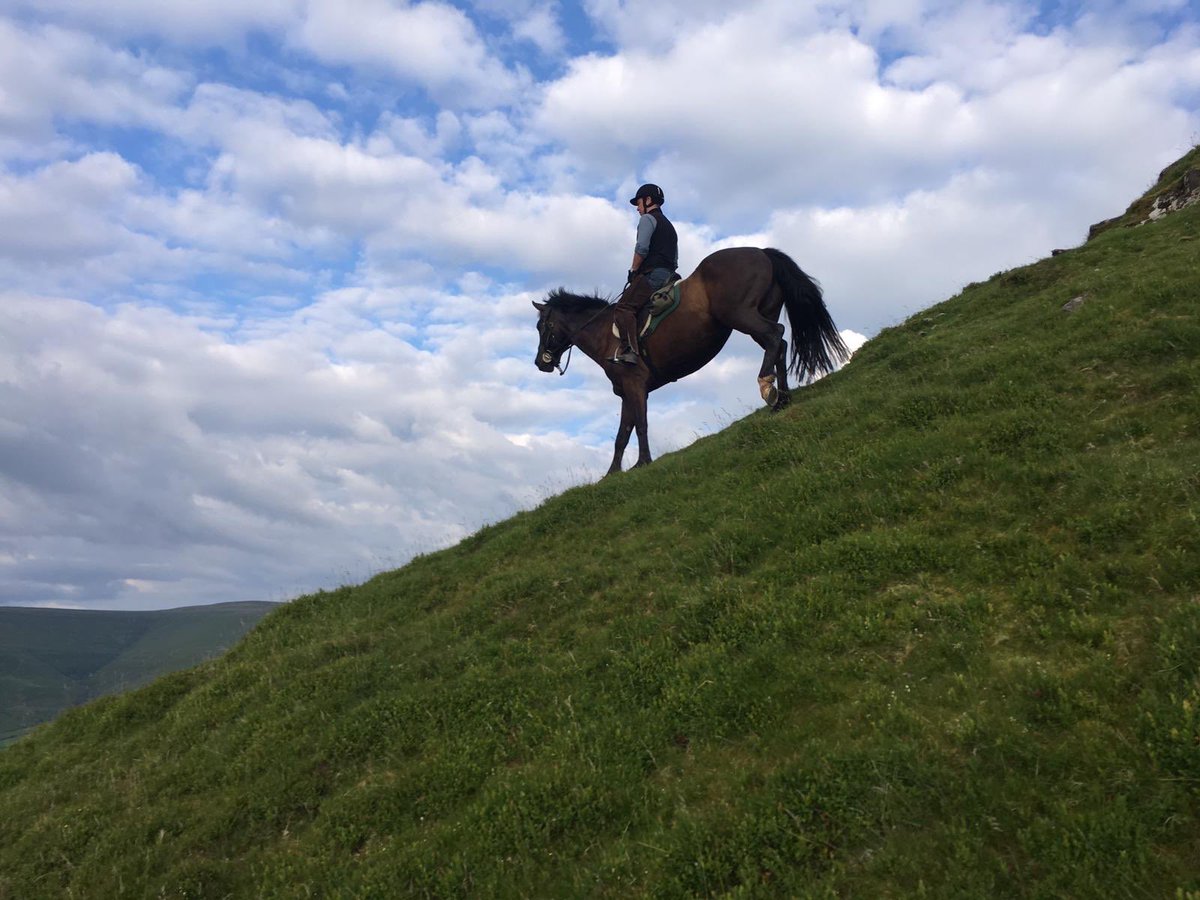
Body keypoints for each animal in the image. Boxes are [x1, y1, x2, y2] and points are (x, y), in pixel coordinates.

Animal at [533, 246, 849, 475]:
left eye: (541, 326)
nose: (540, 363)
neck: (605, 333)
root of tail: (760, 251)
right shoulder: (626, 392)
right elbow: (623, 433)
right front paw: (612, 474)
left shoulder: (635, 386)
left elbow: (641, 425)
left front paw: (643, 462)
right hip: (760, 314)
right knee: (779, 346)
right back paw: (782, 398)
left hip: (742, 316)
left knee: (776, 336)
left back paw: (767, 386)